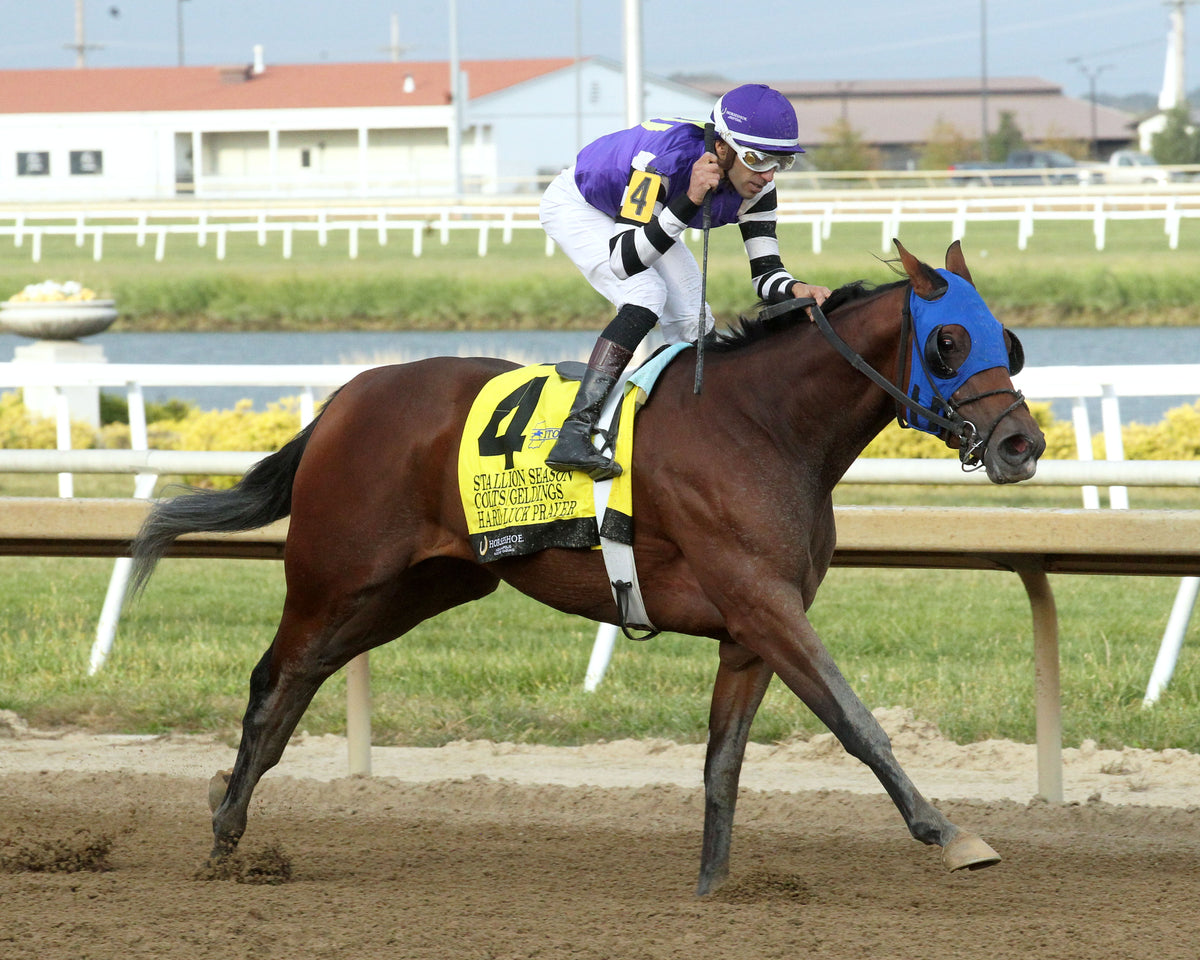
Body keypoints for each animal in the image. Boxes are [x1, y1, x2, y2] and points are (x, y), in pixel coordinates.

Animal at [130, 240, 1045, 896]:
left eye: (1010, 342)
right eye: (949, 340)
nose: (1021, 444)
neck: (763, 426)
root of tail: (342, 402)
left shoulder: (751, 629)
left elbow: (723, 759)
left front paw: (712, 886)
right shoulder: (766, 605)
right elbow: (856, 722)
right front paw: (951, 834)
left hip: (415, 588)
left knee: (304, 679)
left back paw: (226, 803)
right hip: (333, 576)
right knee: (271, 681)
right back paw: (224, 836)